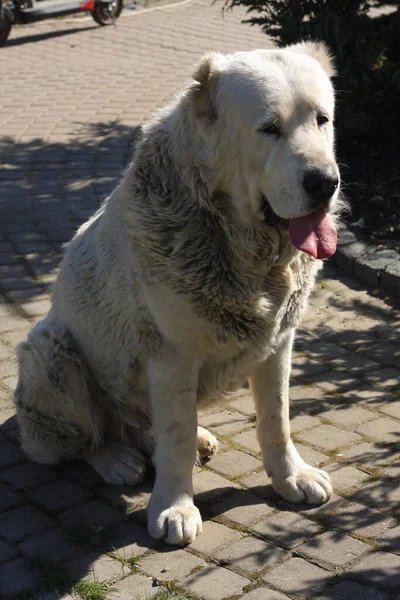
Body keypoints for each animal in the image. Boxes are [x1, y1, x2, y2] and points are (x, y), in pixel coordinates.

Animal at [15, 42, 340, 548]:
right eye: (270, 128)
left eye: (322, 120)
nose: (325, 182)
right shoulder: (170, 357)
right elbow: (175, 439)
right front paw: (174, 508)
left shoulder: (278, 343)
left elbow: (276, 420)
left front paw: (291, 478)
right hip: (49, 352)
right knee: (80, 439)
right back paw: (116, 459)